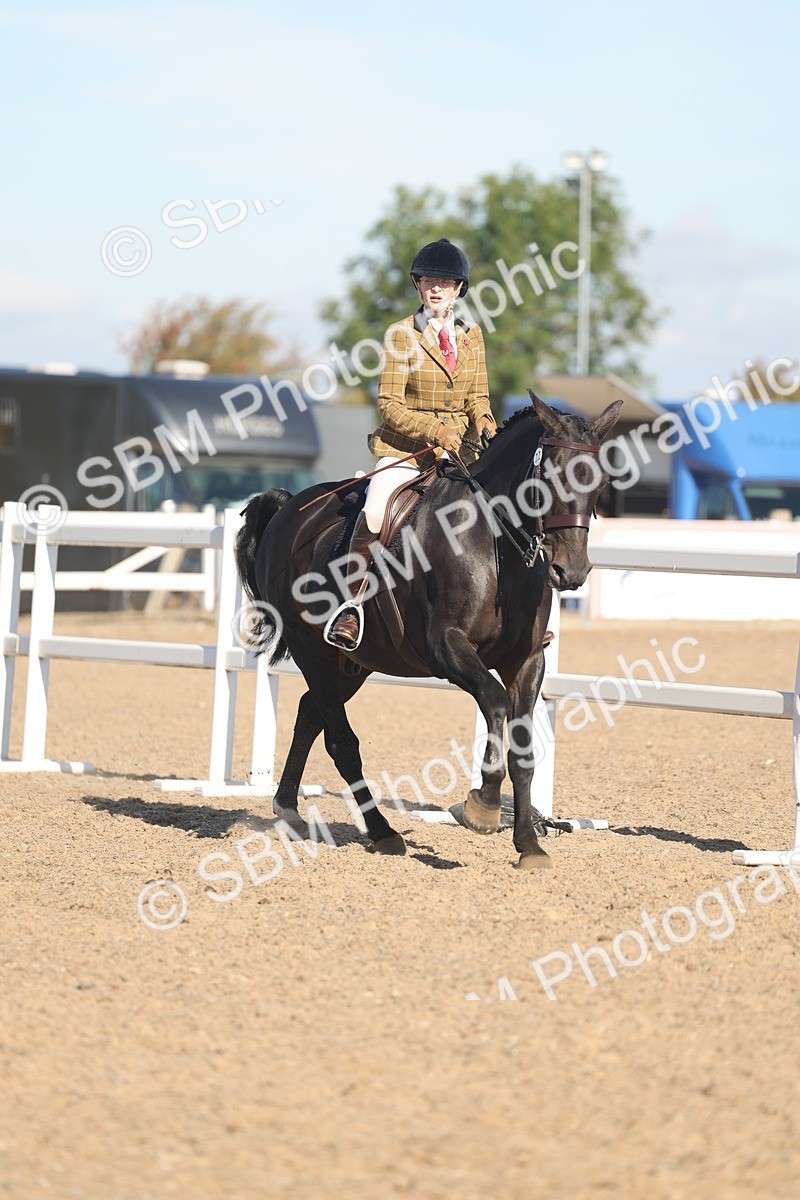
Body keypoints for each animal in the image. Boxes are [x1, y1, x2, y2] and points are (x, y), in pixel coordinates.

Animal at [235, 391, 621, 868]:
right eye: (550, 476)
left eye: (600, 482)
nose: (572, 571)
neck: (493, 544)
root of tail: (289, 509)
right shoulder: (447, 648)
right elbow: (494, 702)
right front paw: (482, 806)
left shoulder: (527, 661)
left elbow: (523, 748)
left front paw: (529, 845)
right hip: (314, 651)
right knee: (342, 741)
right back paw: (381, 832)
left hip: (354, 663)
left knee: (311, 713)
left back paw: (288, 809)